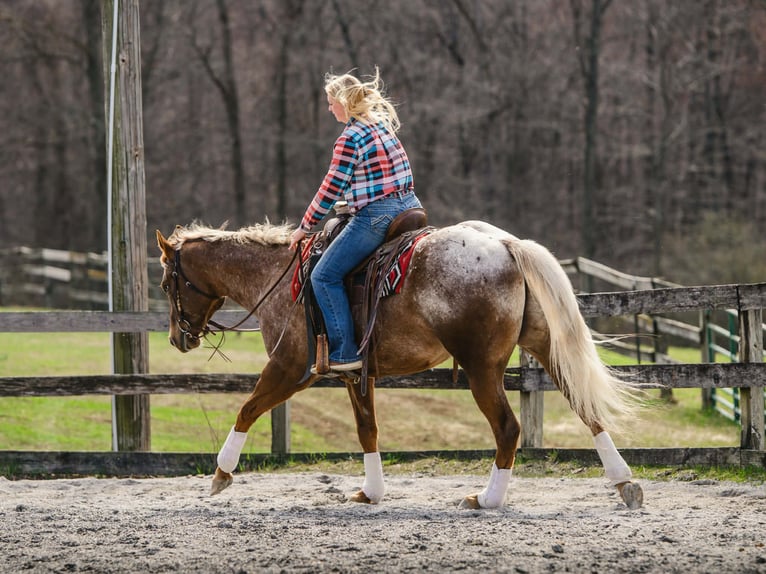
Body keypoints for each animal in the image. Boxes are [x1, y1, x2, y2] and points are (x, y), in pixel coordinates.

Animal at [156, 219, 644, 510]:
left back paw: (487, 498)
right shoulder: (356, 374)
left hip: (481, 367)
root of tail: (506, 245)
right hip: (543, 347)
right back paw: (624, 482)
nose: (178, 338)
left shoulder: (290, 368)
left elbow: (247, 409)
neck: (280, 279)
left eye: (166, 282)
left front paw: (221, 473)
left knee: (507, 428)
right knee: (587, 408)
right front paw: (371, 491)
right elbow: (367, 429)